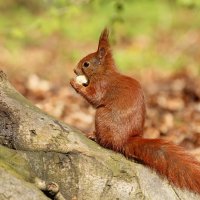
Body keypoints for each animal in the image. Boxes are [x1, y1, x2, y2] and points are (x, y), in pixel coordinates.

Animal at [70, 28, 200, 194]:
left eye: (86, 64)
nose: (74, 70)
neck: (104, 72)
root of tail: (125, 140)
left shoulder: (102, 85)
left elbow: (94, 97)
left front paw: (75, 83)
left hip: (101, 116)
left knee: (108, 143)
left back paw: (95, 136)